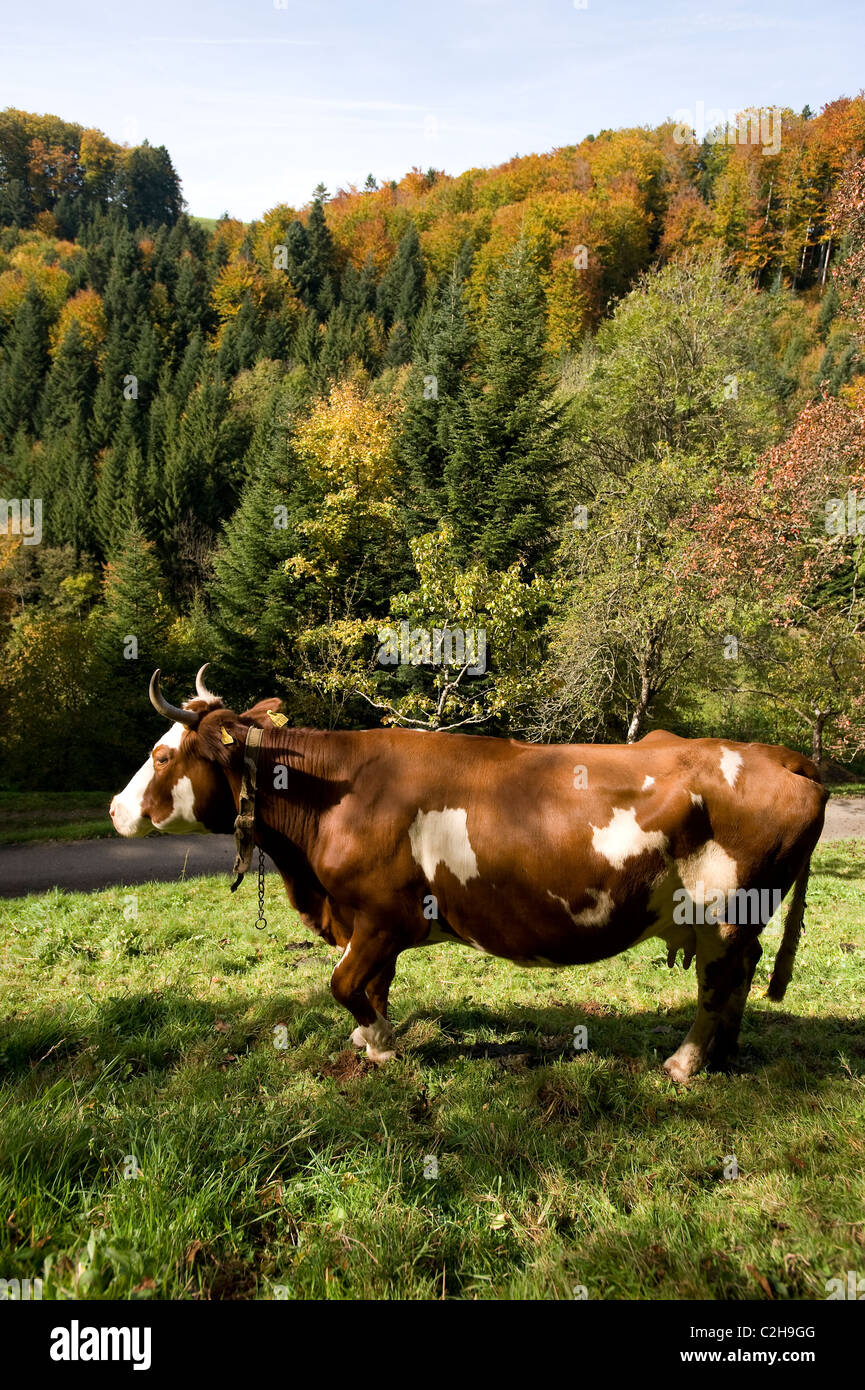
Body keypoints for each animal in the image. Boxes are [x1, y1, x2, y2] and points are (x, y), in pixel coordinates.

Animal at [111, 667, 828, 1078]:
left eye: (162, 754)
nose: (117, 809)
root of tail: (777, 753)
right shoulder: (366, 923)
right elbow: (373, 986)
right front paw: (371, 1039)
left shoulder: (380, 916)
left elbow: (345, 984)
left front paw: (382, 1045)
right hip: (733, 920)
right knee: (736, 982)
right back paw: (723, 1055)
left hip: (723, 914)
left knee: (718, 984)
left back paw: (685, 1062)